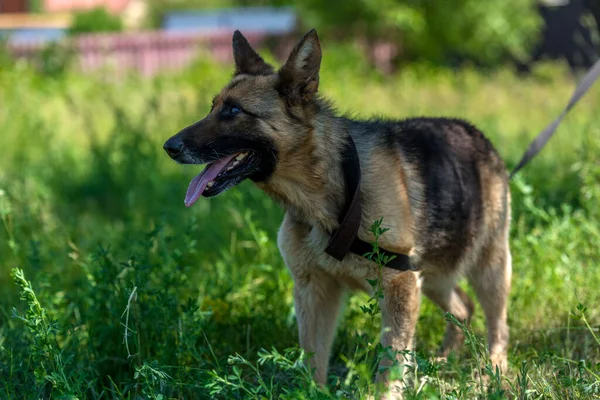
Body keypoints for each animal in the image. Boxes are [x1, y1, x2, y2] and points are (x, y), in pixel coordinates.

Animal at [164, 29, 510, 396]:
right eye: (212, 108)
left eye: (233, 110)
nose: (169, 147)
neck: (335, 189)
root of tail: (477, 134)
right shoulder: (315, 290)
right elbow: (313, 359)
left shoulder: (399, 286)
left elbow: (391, 363)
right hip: (433, 276)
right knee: (462, 307)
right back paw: (444, 361)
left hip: (489, 269)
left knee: (497, 326)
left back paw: (493, 371)